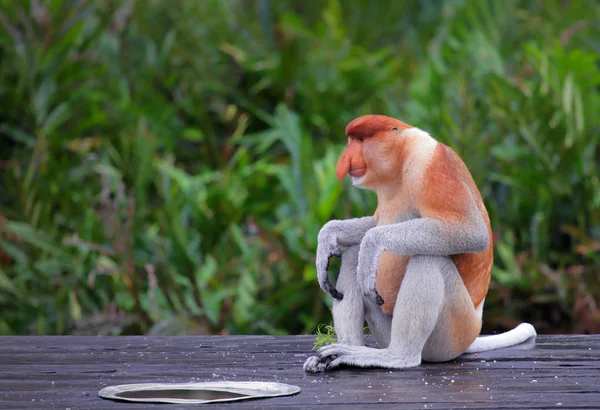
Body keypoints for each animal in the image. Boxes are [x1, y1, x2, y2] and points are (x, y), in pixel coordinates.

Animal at [304, 114, 536, 372]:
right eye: (351, 141)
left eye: (361, 140)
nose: (345, 160)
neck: (401, 159)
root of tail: (473, 333)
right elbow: (375, 222)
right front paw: (328, 235)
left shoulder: (431, 166)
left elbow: (473, 232)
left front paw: (371, 243)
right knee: (355, 253)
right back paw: (342, 352)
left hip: (455, 331)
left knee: (427, 259)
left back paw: (396, 356)